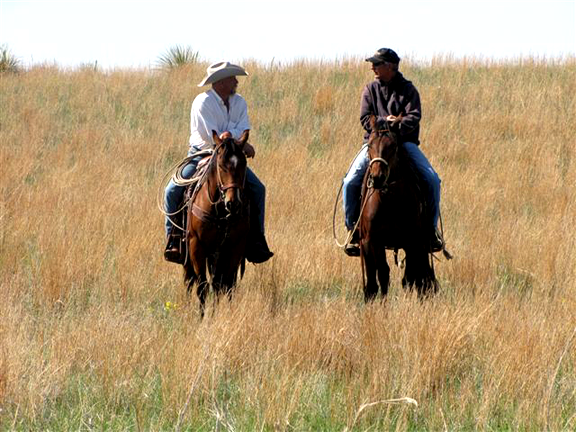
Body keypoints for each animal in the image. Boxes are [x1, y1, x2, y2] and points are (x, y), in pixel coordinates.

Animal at [183, 132, 249, 318]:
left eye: (244, 164)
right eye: (221, 165)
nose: (233, 203)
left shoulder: (234, 247)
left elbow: (226, 284)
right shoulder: (196, 245)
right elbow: (202, 285)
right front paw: (202, 317)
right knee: (190, 279)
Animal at [360, 116, 436, 302]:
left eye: (393, 146)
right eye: (370, 145)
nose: (377, 178)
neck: (390, 201)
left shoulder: (412, 241)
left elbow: (410, 277)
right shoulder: (372, 241)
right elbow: (380, 275)